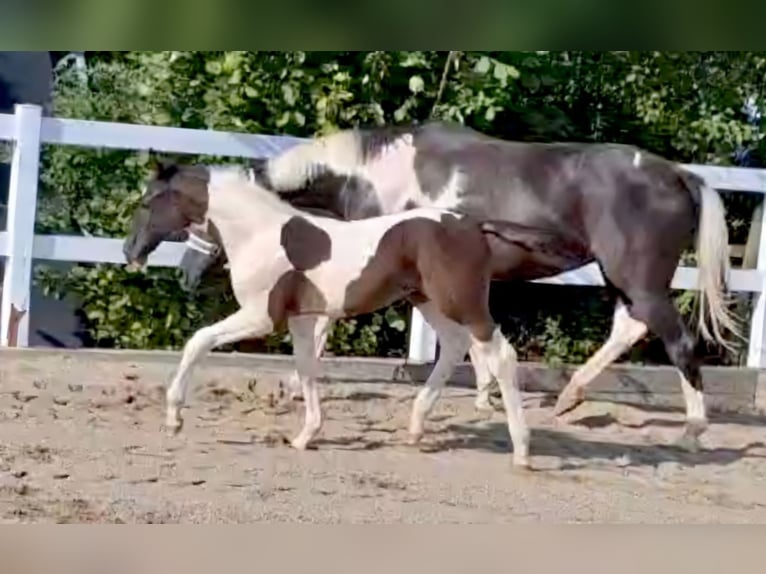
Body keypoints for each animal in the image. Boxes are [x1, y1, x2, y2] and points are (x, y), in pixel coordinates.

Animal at [124, 160, 536, 470]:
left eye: (148, 201)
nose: (131, 251)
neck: (260, 233)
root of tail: (472, 224)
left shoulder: (261, 316)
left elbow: (198, 341)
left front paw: (174, 418)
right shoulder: (302, 319)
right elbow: (307, 368)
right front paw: (304, 436)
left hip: (461, 302)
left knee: (500, 355)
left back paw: (521, 451)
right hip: (428, 301)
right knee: (454, 345)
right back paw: (416, 428)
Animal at [172, 122, 736, 454]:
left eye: (200, 218)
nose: (187, 274)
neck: (370, 172)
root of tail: (680, 175)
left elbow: (331, 322)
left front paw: (295, 390)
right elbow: (464, 345)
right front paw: (484, 396)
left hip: (635, 276)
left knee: (677, 340)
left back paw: (693, 430)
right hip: (619, 277)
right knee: (629, 327)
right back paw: (568, 398)